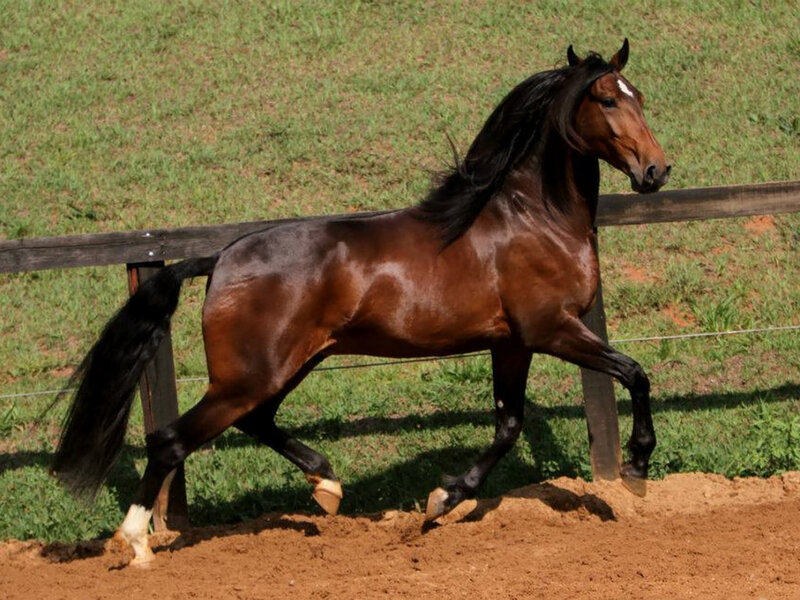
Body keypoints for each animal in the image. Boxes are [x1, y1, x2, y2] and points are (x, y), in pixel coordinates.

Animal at [52, 39, 670, 565]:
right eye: (608, 98)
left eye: (641, 95)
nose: (655, 170)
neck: (533, 219)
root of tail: (221, 259)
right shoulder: (553, 330)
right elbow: (633, 372)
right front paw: (637, 467)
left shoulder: (512, 343)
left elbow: (508, 424)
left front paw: (443, 500)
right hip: (250, 375)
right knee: (171, 440)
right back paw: (136, 544)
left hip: (290, 364)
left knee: (256, 422)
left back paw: (326, 485)